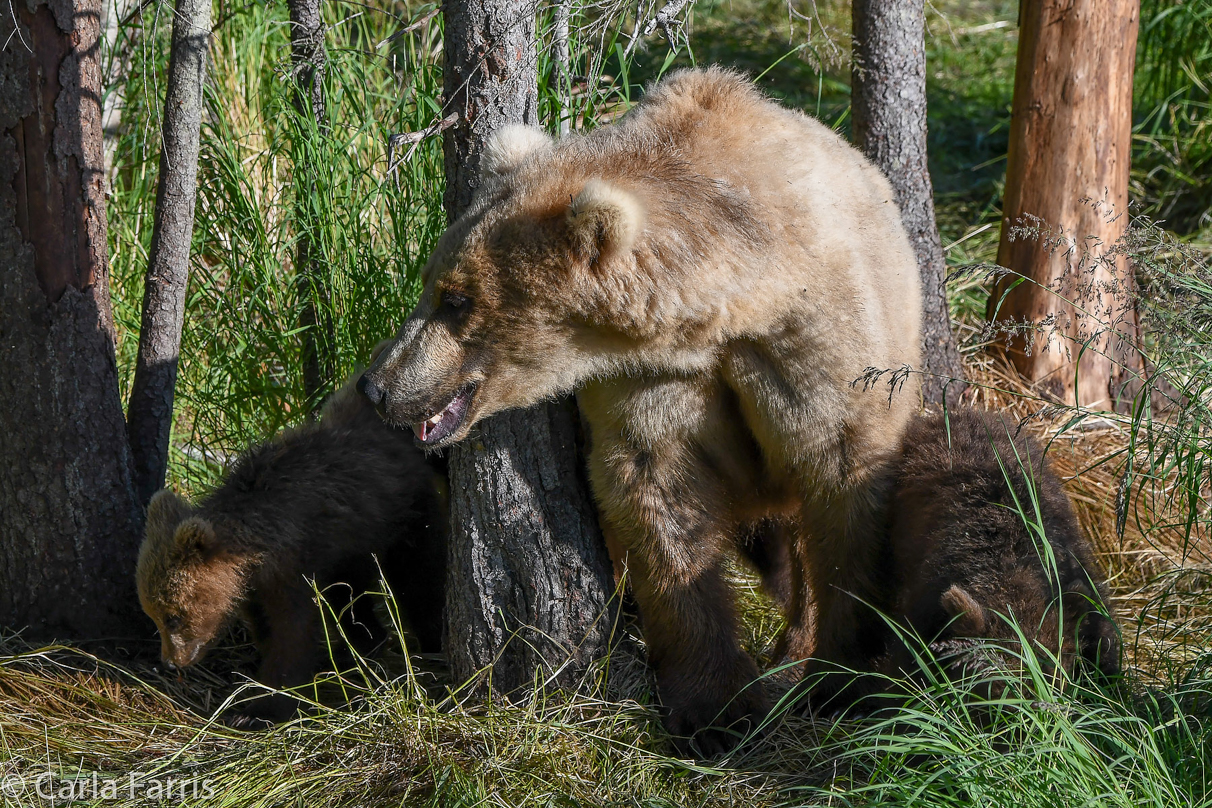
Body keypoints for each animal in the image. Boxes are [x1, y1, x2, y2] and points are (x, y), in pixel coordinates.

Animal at [137, 380, 448, 726]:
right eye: (153, 615)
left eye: (173, 617)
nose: (172, 661)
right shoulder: (266, 580)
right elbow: (268, 625)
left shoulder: (291, 564)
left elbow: (292, 631)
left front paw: (260, 709)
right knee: (352, 595)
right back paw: (359, 646)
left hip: (403, 513)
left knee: (419, 578)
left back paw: (431, 643)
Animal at [358, 67, 925, 751]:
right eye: (432, 281)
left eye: (456, 299)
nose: (377, 386)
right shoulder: (653, 377)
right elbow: (658, 493)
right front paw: (714, 709)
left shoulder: (818, 340)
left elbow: (843, 481)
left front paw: (837, 673)